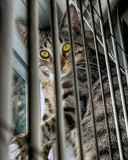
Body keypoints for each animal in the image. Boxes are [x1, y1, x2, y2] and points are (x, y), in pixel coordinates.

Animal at [8, 3, 128, 160]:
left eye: (66, 46)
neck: (52, 81)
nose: (59, 65)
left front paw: (21, 143)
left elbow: (47, 127)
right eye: (44, 53)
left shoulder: (73, 106)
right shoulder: (49, 106)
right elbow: (46, 126)